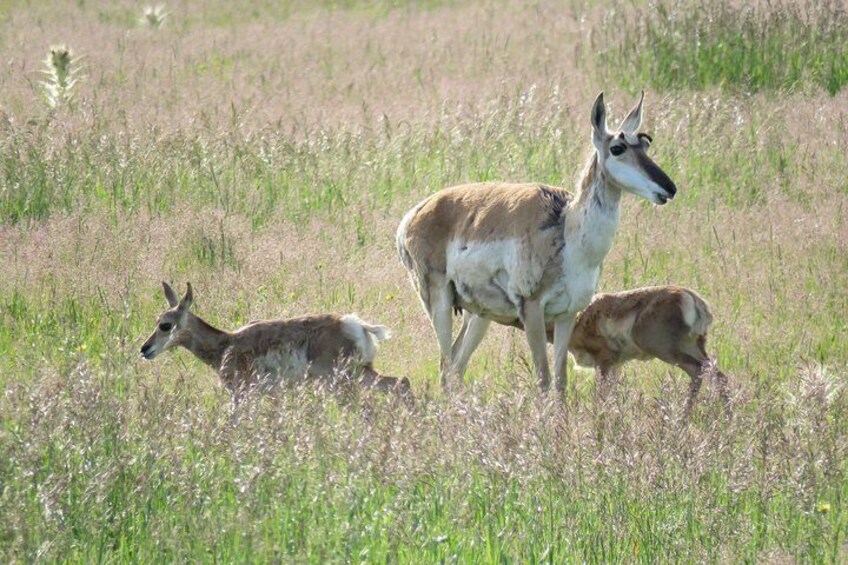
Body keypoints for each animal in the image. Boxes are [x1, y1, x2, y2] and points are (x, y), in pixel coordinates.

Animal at [139, 280, 410, 410]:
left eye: (165, 325)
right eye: (155, 321)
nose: (144, 349)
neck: (226, 344)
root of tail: (355, 323)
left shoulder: (240, 395)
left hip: (342, 382)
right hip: (361, 374)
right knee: (401, 382)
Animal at [394, 91, 680, 392]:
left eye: (645, 144)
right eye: (617, 148)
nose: (669, 188)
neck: (568, 229)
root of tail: (415, 214)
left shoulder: (568, 314)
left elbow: (561, 380)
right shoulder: (532, 310)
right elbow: (543, 378)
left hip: (479, 314)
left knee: (456, 367)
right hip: (439, 301)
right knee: (445, 366)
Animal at [568, 286, 724, 414]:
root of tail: (692, 298)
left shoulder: (604, 360)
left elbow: (601, 395)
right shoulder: (616, 364)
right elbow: (612, 393)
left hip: (666, 352)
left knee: (699, 369)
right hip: (693, 348)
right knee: (717, 373)